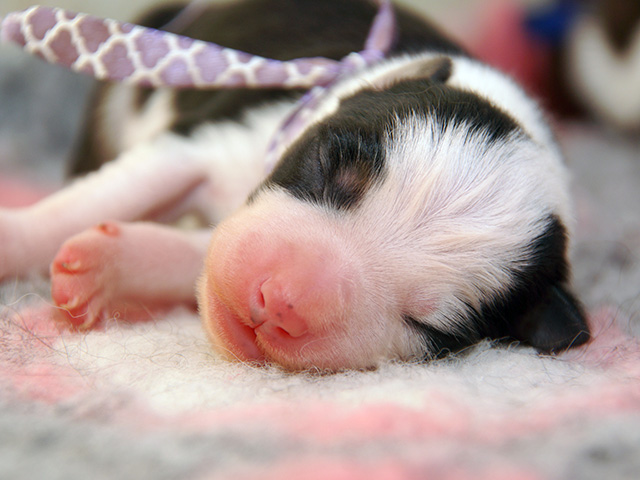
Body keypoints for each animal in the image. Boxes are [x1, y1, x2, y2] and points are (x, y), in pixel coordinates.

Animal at [0, 0, 589, 371]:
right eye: (329, 165)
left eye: (427, 324)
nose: (279, 305)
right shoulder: (202, 143)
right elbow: (100, 196)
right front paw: (19, 239)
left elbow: (190, 253)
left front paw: (105, 266)